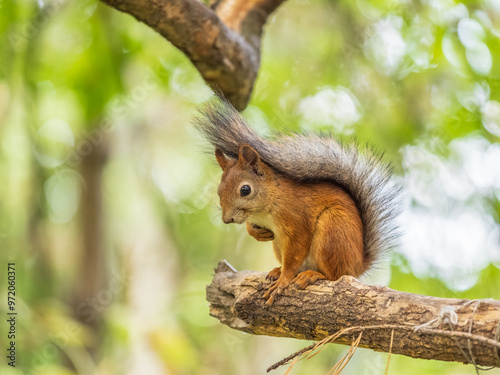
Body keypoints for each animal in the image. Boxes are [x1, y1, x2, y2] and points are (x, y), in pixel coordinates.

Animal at [196, 100, 402, 306]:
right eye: (219, 190)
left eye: (245, 190)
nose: (227, 219)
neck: (266, 208)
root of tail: (358, 264)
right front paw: (257, 233)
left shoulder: (296, 221)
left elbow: (295, 254)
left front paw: (283, 281)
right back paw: (277, 270)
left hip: (333, 231)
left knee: (334, 275)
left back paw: (312, 274)